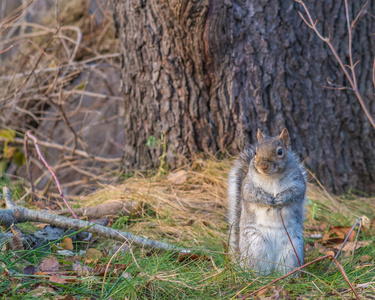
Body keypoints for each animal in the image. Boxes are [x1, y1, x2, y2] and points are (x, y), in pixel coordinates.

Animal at [228, 127, 306, 276]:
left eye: (280, 151)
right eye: (255, 152)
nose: (263, 166)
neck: (271, 177)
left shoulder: (298, 182)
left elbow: (296, 192)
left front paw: (281, 198)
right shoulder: (248, 184)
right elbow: (250, 193)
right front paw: (267, 198)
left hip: (292, 251)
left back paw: (287, 277)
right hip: (255, 248)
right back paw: (257, 277)